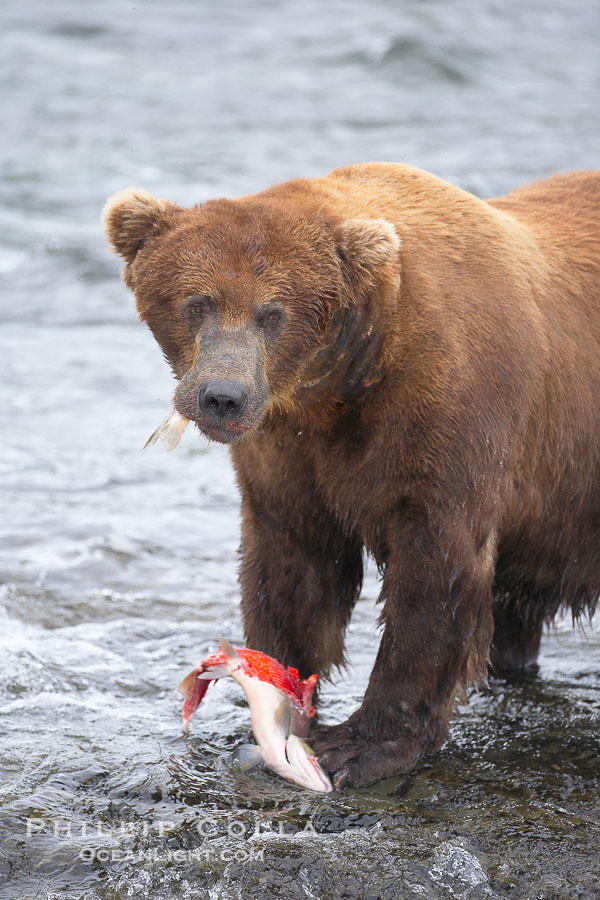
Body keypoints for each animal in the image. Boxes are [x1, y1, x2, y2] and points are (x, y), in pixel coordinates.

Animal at [103, 163, 600, 788]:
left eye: (273, 312)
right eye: (197, 303)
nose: (222, 396)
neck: (345, 382)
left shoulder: (449, 421)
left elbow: (435, 577)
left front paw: (361, 745)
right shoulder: (291, 455)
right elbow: (292, 570)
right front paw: (280, 697)